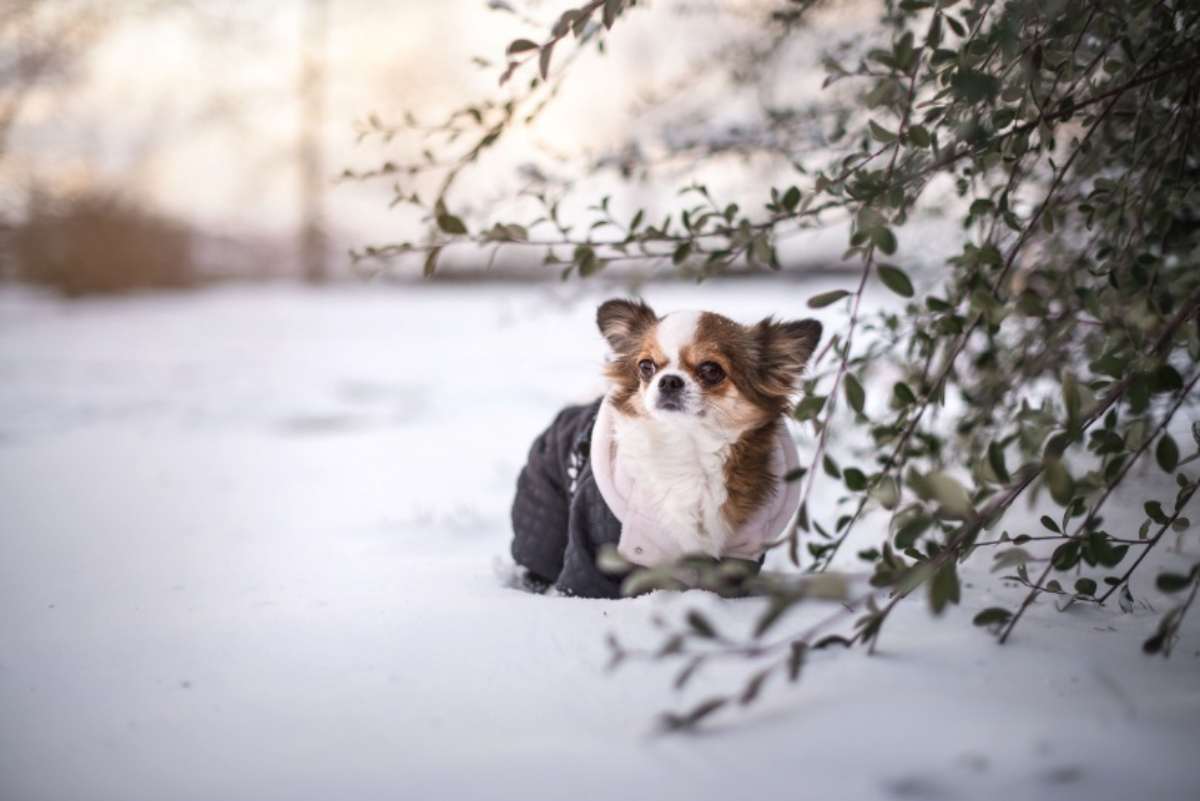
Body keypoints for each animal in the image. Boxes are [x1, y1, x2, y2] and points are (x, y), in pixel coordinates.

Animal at [511, 297, 820, 597]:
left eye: (712, 370)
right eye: (645, 366)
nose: (669, 380)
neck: (686, 451)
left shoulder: (740, 555)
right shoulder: (594, 541)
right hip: (547, 503)